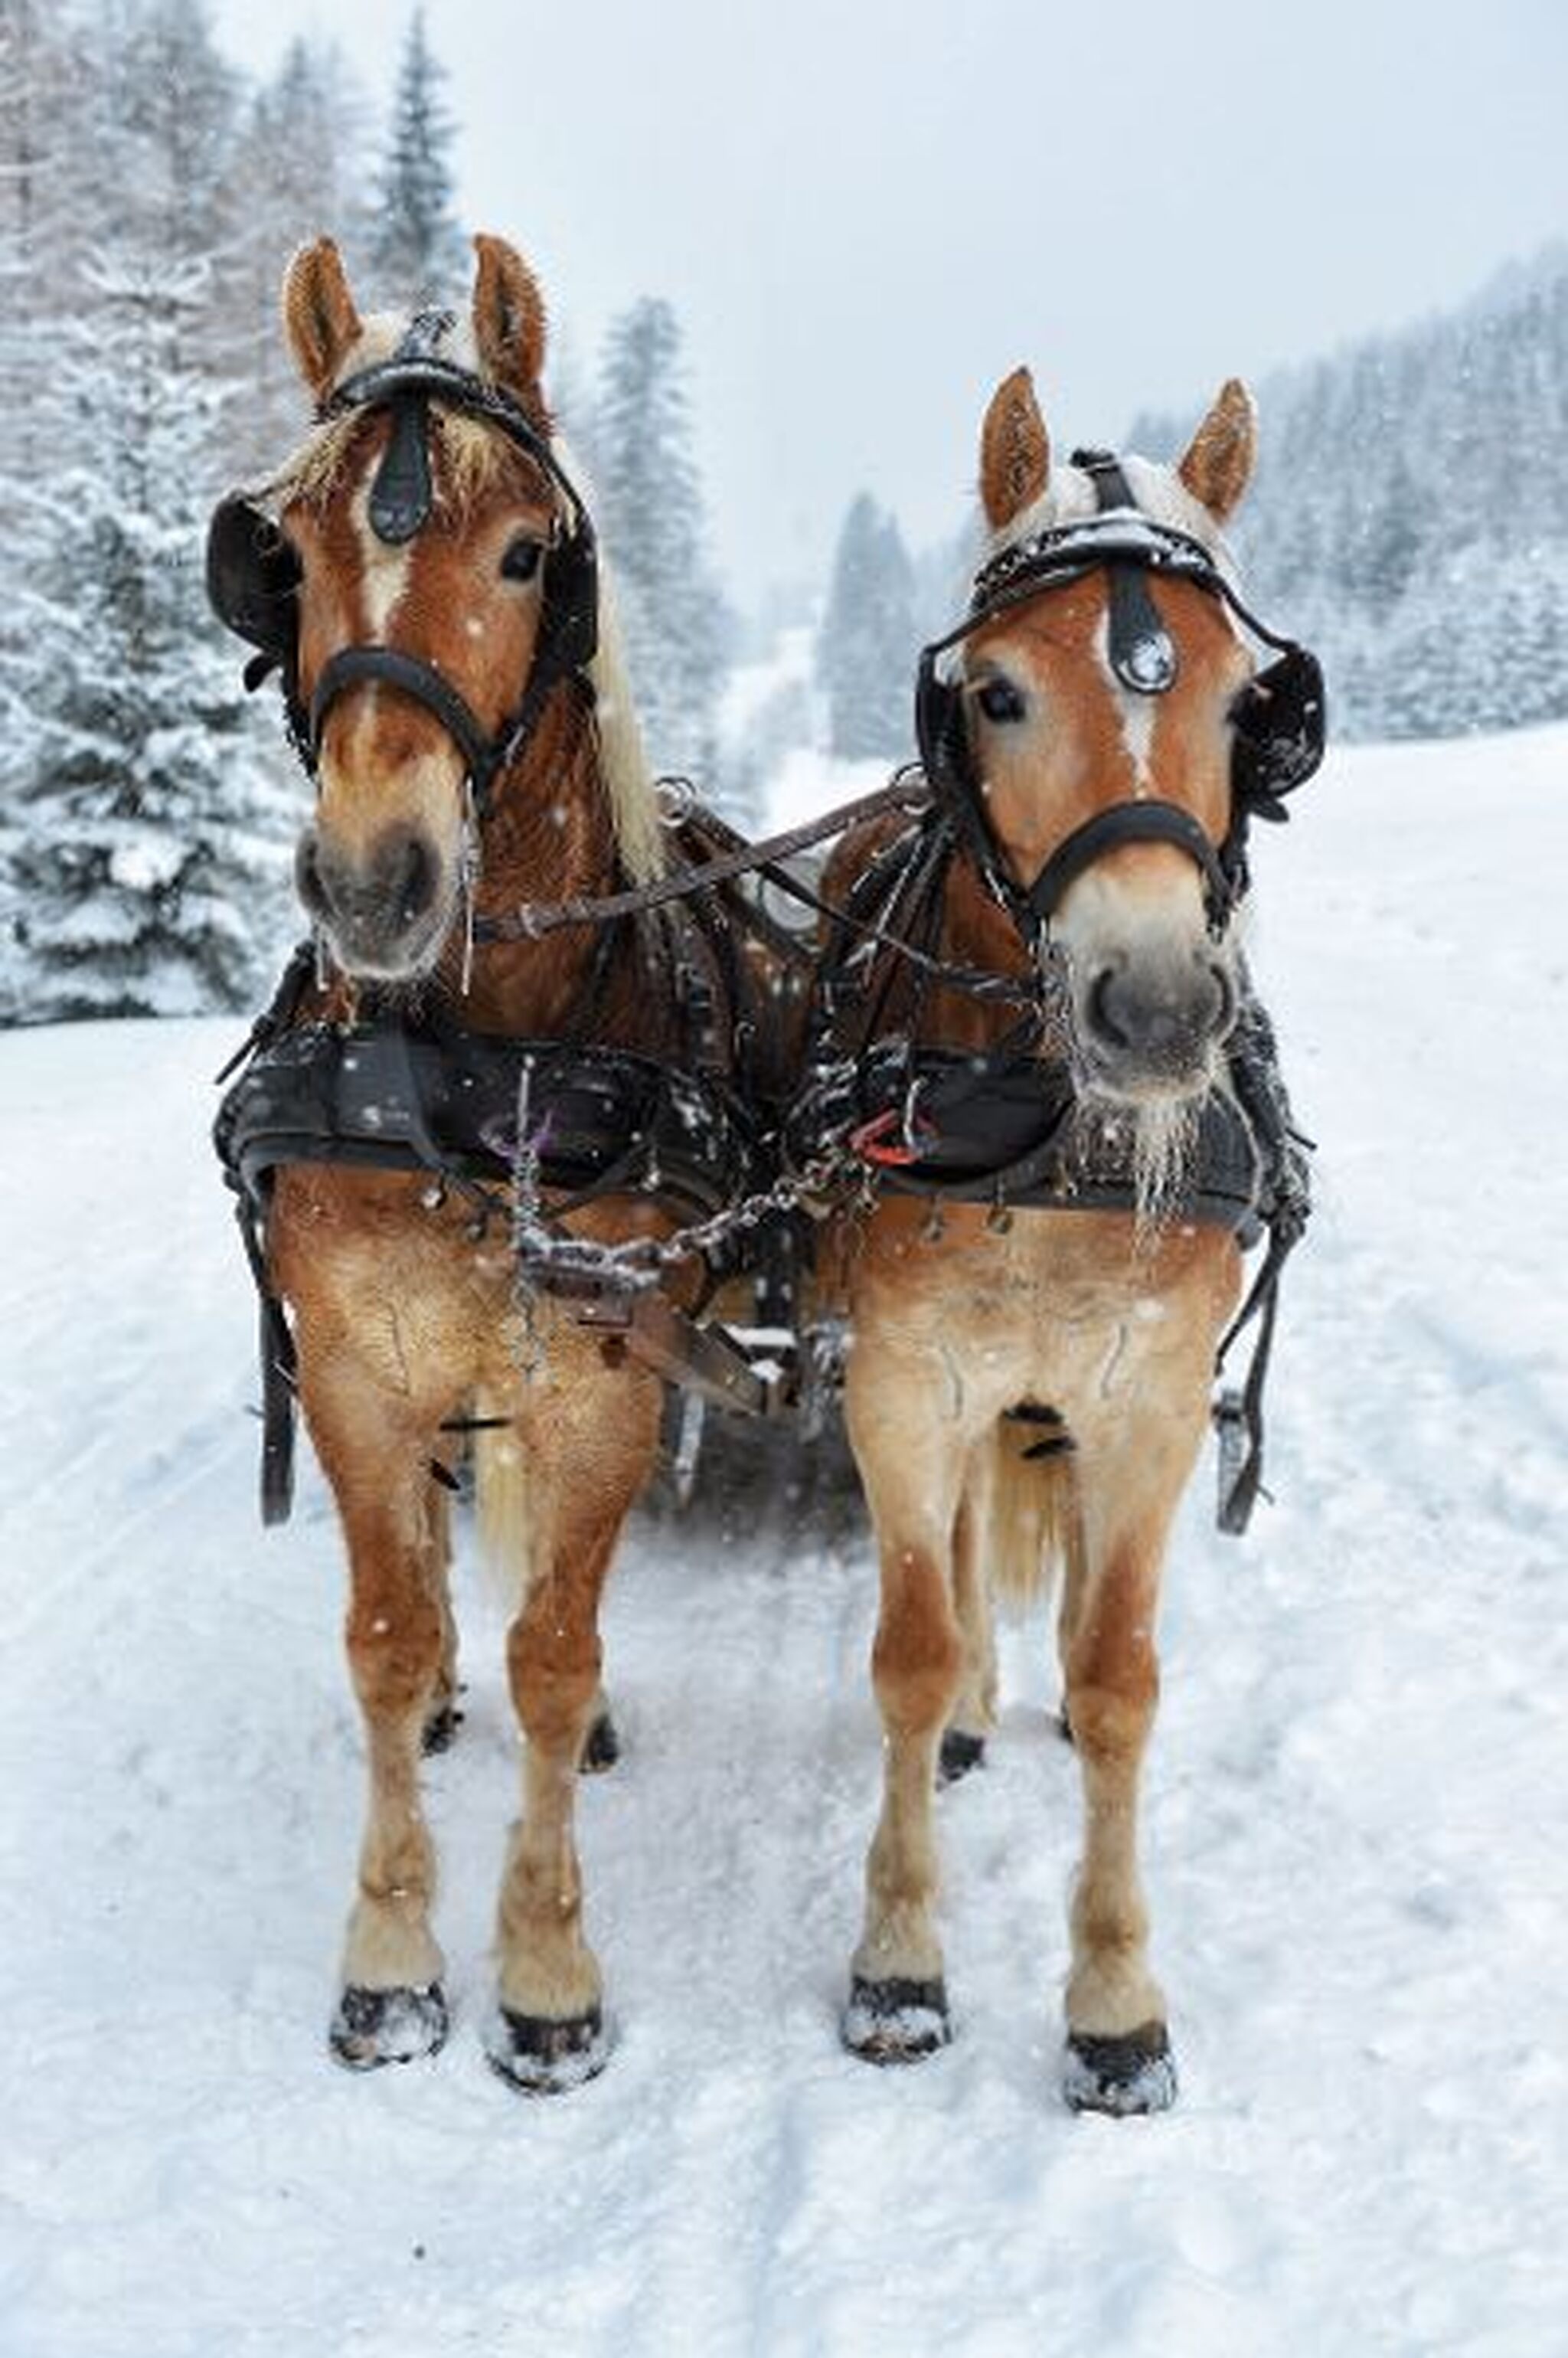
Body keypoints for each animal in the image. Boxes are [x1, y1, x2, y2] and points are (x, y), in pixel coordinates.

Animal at [208, 234, 775, 2092]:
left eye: (531, 551)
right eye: (286, 557)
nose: (374, 882)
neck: (477, 1067)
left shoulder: (601, 1380)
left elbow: (556, 1644)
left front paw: (543, 1972)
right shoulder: (354, 1370)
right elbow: (386, 1645)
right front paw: (390, 1961)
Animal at [803, 368, 1322, 2113]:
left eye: (1246, 706)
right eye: (1000, 694)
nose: (1154, 1009)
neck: (1034, 1126)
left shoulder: (1147, 1400)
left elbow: (1117, 1680)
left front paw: (1112, 1999)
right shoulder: (900, 1379)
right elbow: (904, 1645)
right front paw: (899, 1960)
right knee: (966, 1543)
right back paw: (972, 1706)